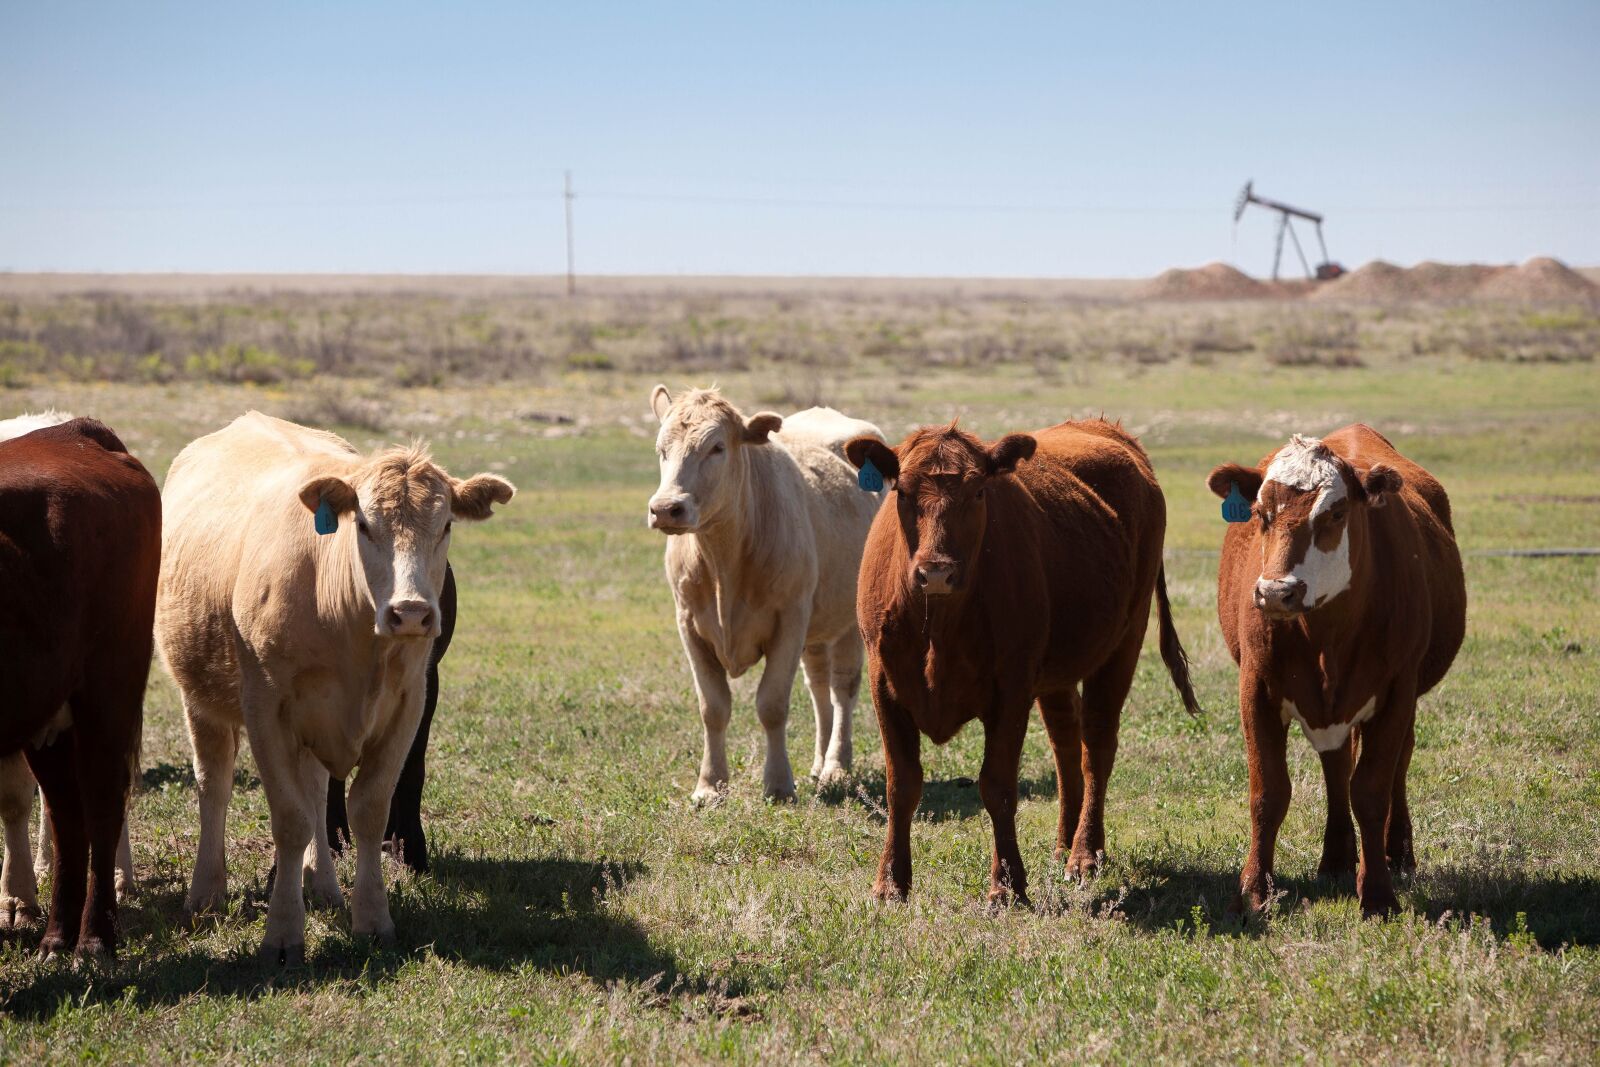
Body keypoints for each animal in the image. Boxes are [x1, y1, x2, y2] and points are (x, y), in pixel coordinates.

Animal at [0, 418, 161, 956]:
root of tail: (74, 433)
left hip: (108, 691)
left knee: (103, 800)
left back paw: (94, 938)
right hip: (49, 710)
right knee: (67, 814)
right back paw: (56, 936)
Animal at [156, 412, 513, 963]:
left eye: (446, 525)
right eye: (363, 525)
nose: (411, 613)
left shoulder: (408, 705)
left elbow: (365, 809)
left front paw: (372, 918)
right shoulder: (265, 710)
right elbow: (290, 818)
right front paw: (283, 933)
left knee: (316, 787)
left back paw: (322, 885)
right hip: (201, 698)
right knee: (214, 784)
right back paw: (206, 892)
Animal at [647, 386, 885, 802]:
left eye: (716, 447)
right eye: (662, 448)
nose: (665, 509)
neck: (724, 562)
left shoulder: (788, 619)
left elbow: (772, 704)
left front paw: (778, 784)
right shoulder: (688, 623)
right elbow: (713, 707)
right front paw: (710, 785)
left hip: (850, 618)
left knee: (843, 687)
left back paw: (836, 766)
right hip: (816, 625)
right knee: (818, 685)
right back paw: (819, 763)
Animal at [846, 419, 1201, 906]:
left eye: (978, 492)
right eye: (901, 491)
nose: (936, 572)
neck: (938, 626)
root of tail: (1106, 430)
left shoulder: (1011, 690)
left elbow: (997, 786)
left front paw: (1007, 885)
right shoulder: (885, 684)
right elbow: (902, 784)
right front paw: (890, 883)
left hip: (1124, 642)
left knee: (1097, 746)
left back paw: (1084, 854)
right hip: (1056, 674)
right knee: (1066, 743)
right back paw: (1063, 844)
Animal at [1206, 425, 1464, 917]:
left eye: (1336, 513)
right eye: (1261, 514)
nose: (1276, 593)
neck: (1326, 635)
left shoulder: (1396, 693)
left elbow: (1372, 790)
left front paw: (1378, 893)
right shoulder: (1256, 690)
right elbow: (1269, 792)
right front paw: (1254, 890)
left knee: (1397, 763)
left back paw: (1397, 851)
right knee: (1337, 765)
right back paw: (1338, 856)